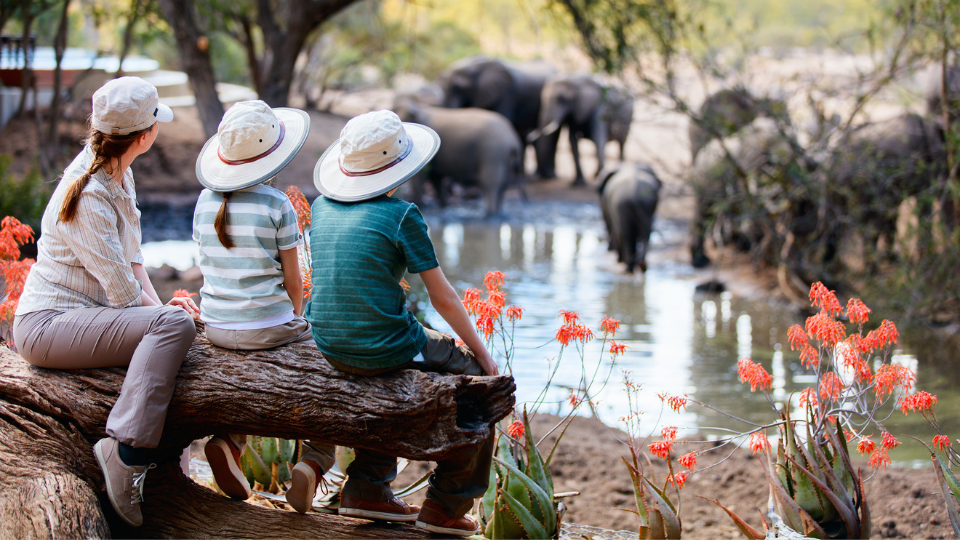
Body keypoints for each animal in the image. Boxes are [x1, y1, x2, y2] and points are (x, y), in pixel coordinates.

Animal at [392, 98, 520, 216]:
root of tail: (512, 139)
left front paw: (422, 206)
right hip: (503, 157)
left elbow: (422, 177)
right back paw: (498, 213)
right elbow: (435, 177)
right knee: (503, 184)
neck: (418, 107)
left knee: (490, 183)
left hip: (492, 153)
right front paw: (444, 206)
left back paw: (489, 215)